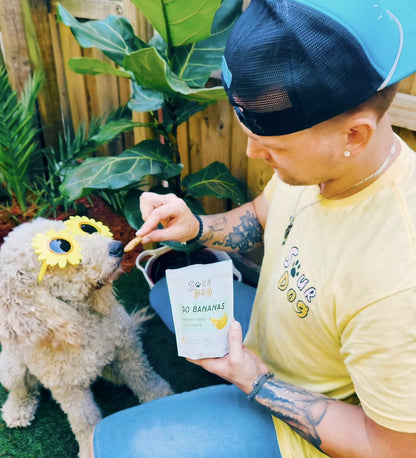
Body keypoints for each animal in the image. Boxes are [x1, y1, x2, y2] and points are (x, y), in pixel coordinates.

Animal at [0, 216, 172, 456]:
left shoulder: (127, 348)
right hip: (11, 368)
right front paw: (90, 448)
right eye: (62, 246)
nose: (117, 247)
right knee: (22, 389)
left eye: (84, 229)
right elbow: (84, 421)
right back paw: (16, 410)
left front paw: (162, 397)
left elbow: (144, 378)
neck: (82, 317)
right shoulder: (69, 388)